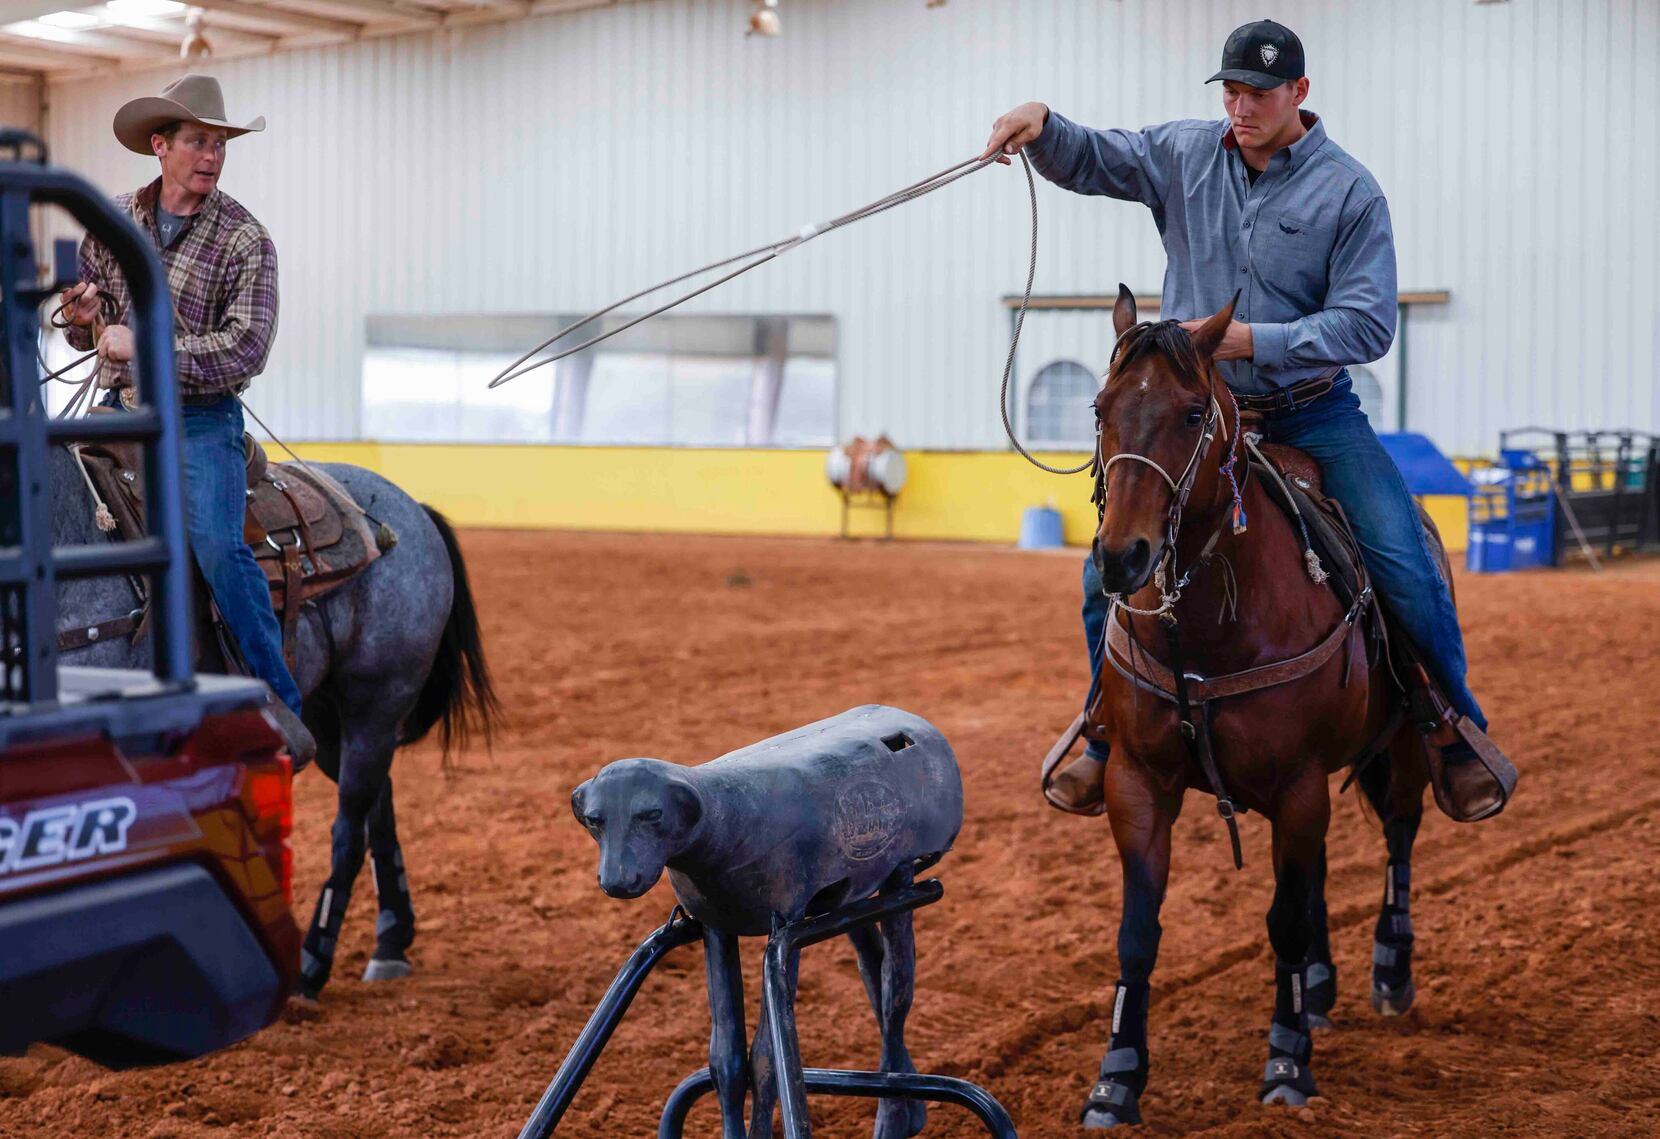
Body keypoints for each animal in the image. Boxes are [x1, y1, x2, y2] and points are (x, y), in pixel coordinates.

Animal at [48, 444, 494, 996]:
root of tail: (412, 510)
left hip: (378, 699)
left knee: (350, 830)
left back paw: (314, 963)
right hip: (327, 717)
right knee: (380, 803)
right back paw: (391, 941)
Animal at [1075, 290, 1440, 1129]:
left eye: (1188, 414)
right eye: (1102, 407)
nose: (1122, 556)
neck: (1209, 626)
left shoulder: (1298, 784)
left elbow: (1283, 920)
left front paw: (1286, 1063)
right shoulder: (1137, 782)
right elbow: (1138, 929)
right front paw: (1116, 1078)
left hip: (1402, 743)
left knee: (1398, 835)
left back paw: (1388, 967)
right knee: (1321, 872)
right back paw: (1323, 987)